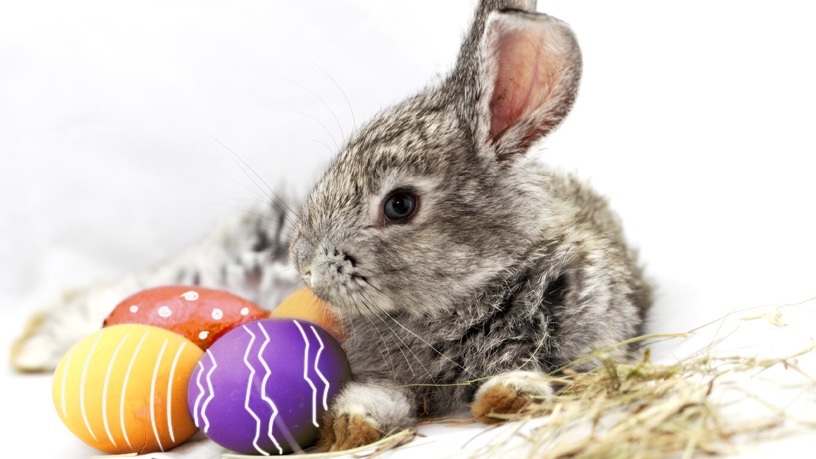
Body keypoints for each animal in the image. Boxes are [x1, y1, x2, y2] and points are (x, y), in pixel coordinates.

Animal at [289, 0, 652, 451]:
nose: (304, 264)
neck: (466, 296)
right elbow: (382, 393)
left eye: (400, 205)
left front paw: (508, 396)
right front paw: (350, 424)